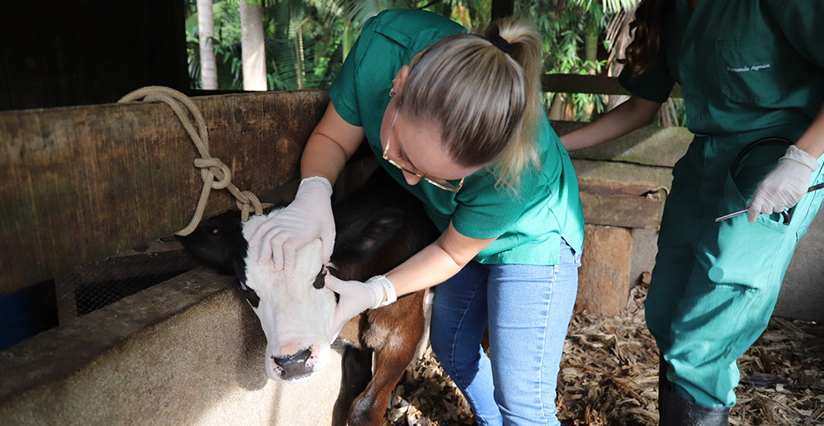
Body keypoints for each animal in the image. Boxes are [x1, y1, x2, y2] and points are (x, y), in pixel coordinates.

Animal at [179, 167, 438, 426]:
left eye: (321, 273)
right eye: (246, 288)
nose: (293, 362)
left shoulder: (403, 333)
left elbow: (365, 407)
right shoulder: (355, 346)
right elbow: (350, 393)